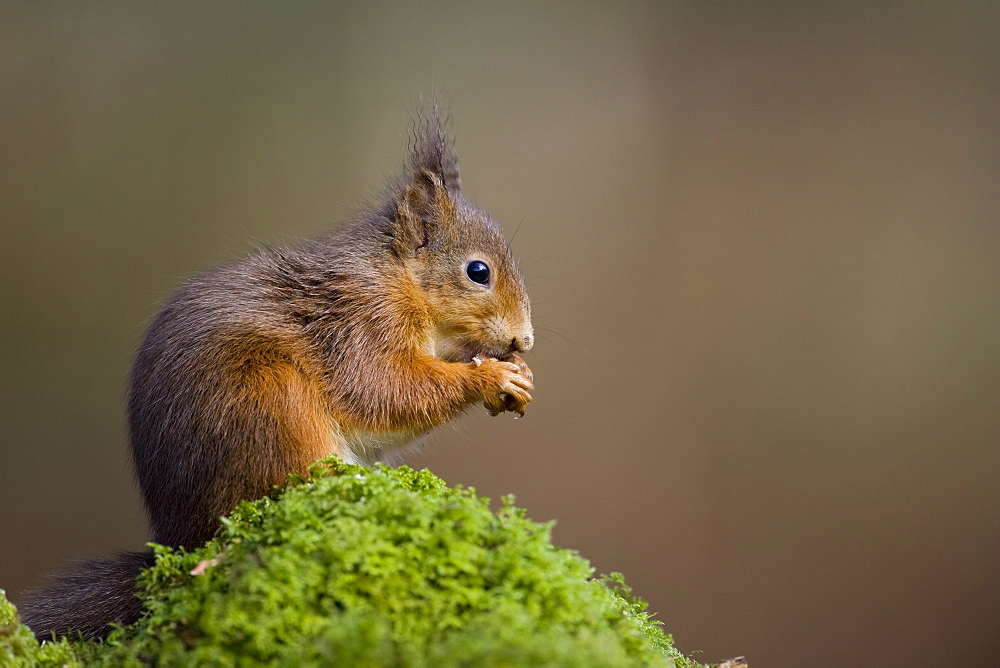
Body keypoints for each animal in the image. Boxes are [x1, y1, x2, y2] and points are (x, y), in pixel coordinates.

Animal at [23, 112, 536, 640]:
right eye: (478, 271)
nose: (525, 340)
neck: (399, 278)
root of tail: (185, 543)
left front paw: (516, 377)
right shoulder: (362, 323)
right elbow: (384, 390)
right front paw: (491, 379)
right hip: (272, 404)